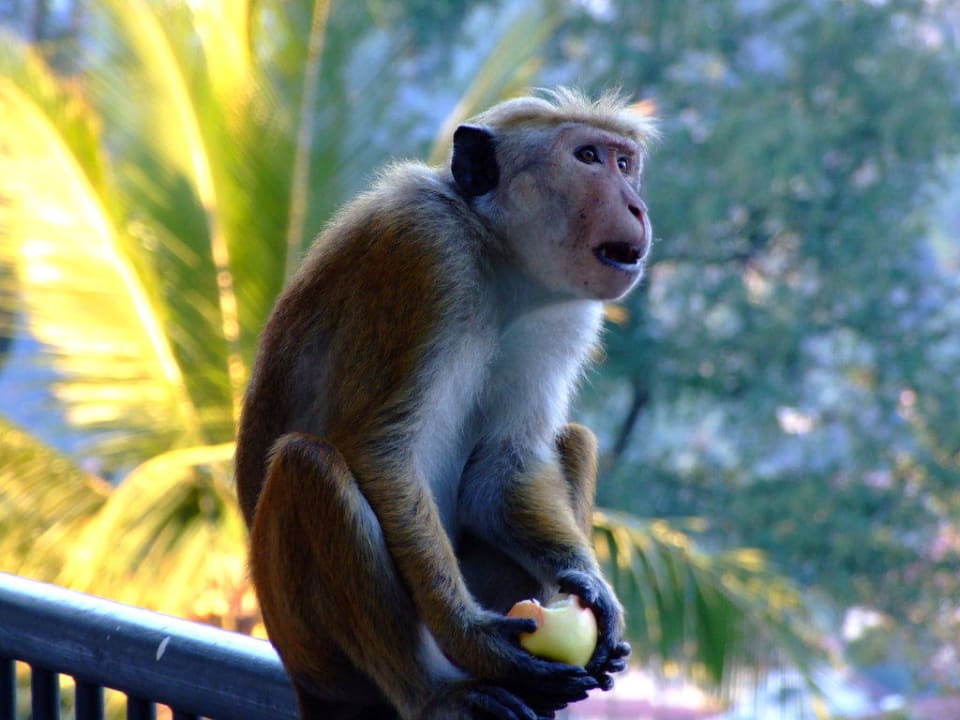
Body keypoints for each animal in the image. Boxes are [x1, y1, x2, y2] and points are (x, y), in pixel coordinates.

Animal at [234, 88, 656, 720]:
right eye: (587, 157)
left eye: (625, 164)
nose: (637, 207)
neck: (495, 253)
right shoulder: (426, 253)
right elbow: (381, 451)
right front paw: (473, 637)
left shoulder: (566, 316)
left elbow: (503, 466)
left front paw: (588, 586)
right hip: (314, 653)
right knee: (310, 467)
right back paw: (437, 693)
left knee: (573, 440)